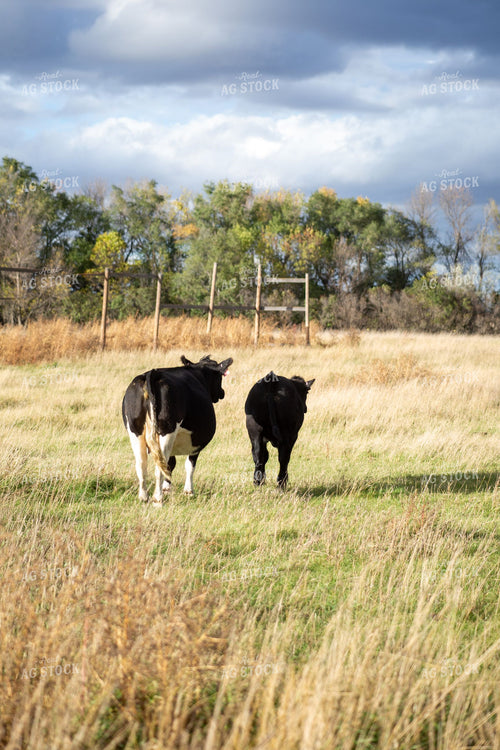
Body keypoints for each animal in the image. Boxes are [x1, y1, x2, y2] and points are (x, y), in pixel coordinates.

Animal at [122, 354, 233, 504]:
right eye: (219, 377)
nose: (222, 392)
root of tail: (152, 374)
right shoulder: (196, 444)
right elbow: (189, 465)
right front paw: (188, 491)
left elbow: (171, 464)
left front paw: (167, 488)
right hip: (167, 431)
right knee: (159, 466)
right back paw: (158, 498)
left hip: (135, 431)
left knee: (142, 465)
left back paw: (144, 497)